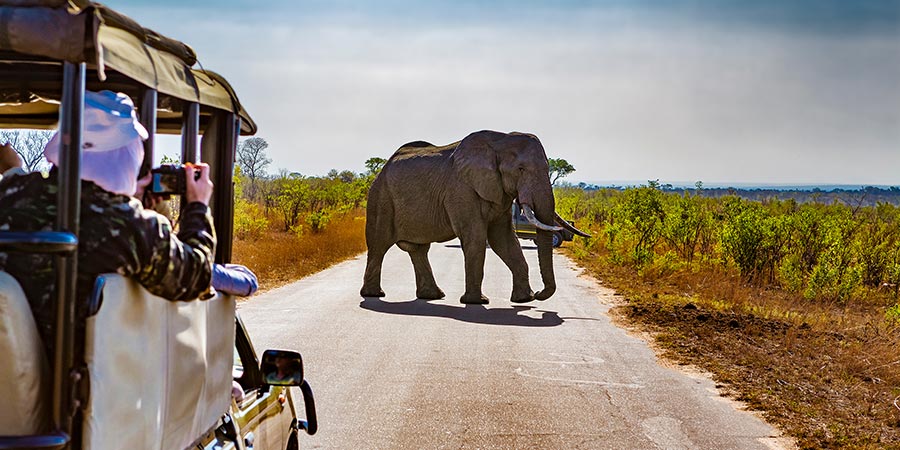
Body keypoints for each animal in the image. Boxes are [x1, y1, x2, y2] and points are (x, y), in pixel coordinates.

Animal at [360, 130, 580, 305]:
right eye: (521, 169)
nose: (540, 293)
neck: (500, 141)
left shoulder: (499, 193)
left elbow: (504, 240)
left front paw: (524, 300)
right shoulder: (460, 189)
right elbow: (475, 236)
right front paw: (477, 302)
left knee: (418, 250)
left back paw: (433, 296)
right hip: (380, 198)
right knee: (379, 245)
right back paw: (374, 295)